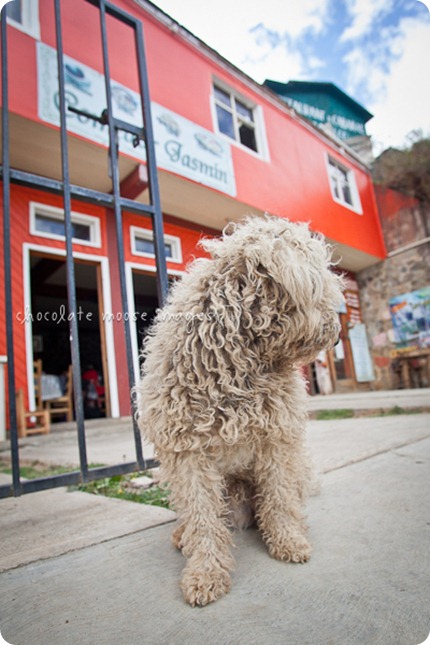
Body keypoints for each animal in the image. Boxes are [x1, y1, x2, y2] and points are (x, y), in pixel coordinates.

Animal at [136, 214, 344, 608]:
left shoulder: (277, 440)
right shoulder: (188, 453)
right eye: (316, 286)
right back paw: (182, 535)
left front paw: (288, 540)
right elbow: (203, 518)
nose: (337, 332)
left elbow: (278, 497)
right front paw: (205, 573)